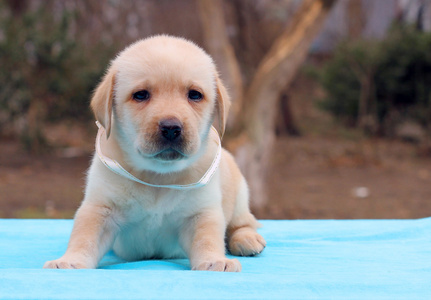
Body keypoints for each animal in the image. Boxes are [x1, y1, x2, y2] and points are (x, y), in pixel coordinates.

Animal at [44, 35, 266, 272]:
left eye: (195, 95)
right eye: (141, 95)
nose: (171, 128)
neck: (158, 175)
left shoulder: (200, 213)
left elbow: (207, 238)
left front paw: (215, 260)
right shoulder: (101, 208)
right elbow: (84, 237)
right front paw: (70, 260)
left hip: (239, 191)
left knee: (243, 222)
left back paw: (246, 238)